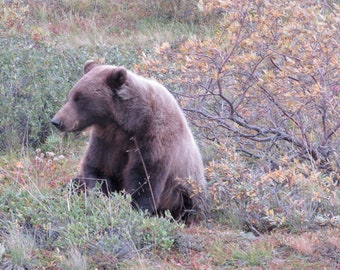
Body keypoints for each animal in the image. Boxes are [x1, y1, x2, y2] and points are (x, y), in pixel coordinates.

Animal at [51, 61, 206, 224]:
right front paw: (101, 198)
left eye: (79, 98)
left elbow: (144, 179)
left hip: (186, 192)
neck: (128, 123)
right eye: (71, 95)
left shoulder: (153, 139)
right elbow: (97, 168)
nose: (56, 121)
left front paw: (135, 209)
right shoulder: (106, 140)